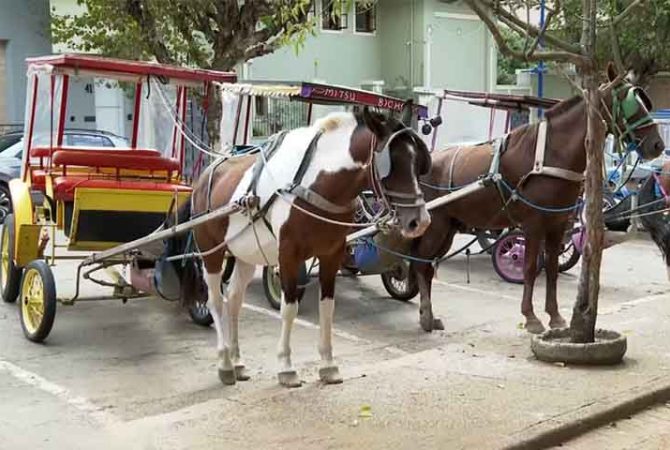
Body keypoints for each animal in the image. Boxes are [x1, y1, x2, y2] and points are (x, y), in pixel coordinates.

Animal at [166, 104, 432, 387]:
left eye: (418, 162)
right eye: (394, 164)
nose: (420, 221)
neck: (313, 184)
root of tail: (204, 178)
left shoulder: (331, 254)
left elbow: (327, 307)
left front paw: (328, 364)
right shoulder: (288, 256)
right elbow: (289, 308)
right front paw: (286, 367)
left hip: (246, 252)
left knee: (234, 299)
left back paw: (237, 361)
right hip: (212, 251)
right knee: (215, 300)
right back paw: (225, 363)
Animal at [410, 63, 665, 334]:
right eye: (629, 102)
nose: (657, 145)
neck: (550, 157)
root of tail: (425, 162)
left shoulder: (557, 224)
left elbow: (551, 269)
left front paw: (555, 316)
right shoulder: (533, 224)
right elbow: (530, 266)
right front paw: (531, 317)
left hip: (449, 227)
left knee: (428, 264)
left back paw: (429, 316)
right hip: (435, 224)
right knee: (421, 262)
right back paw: (426, 316)